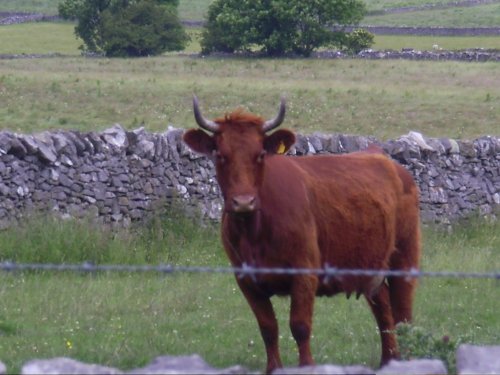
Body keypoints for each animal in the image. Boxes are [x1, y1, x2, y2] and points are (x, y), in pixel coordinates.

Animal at [182, 96, 420, 374]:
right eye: (220, 155)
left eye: (260, 155)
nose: (243, 202)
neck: (255, 232)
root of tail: (385, 159)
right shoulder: (245, 279)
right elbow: (268, 327)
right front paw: (273, 368)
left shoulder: (304, 272)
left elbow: (300, 326)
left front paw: (307, 366)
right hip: (370, 265)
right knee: (384, 311)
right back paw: (388, 361)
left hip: (404, 258)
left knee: (403, 313)